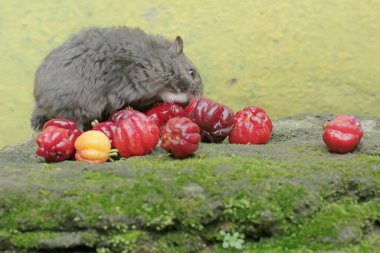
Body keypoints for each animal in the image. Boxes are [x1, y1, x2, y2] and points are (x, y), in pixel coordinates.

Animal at [31, 27, 203, 130]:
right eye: (191, 73)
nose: (200, 95)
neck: (158, 59)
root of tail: (41, 104)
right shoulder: (140, 84)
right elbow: (165, 94)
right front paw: (180, 97)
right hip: (80, 108)